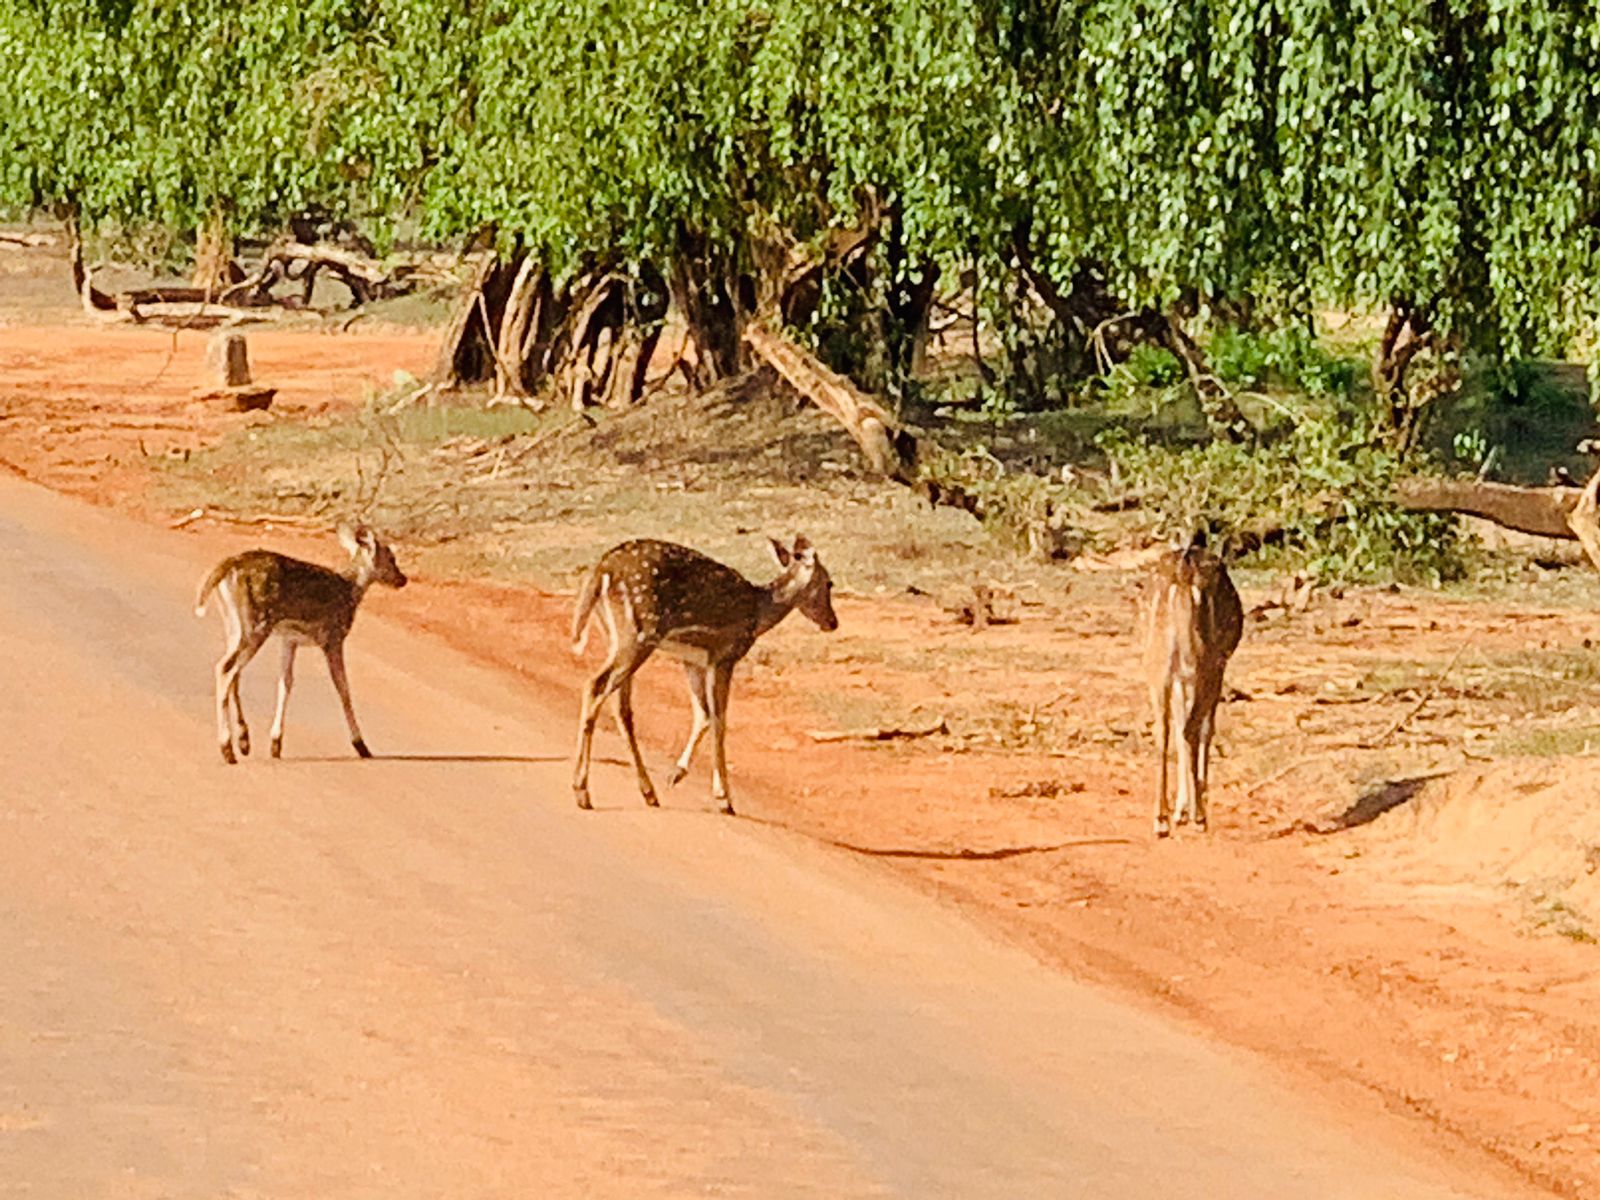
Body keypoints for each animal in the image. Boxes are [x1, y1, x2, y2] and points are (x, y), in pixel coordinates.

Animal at [194, 524, 407, 764]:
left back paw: (243, 741)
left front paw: (276, 744)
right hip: (255, 624)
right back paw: (227, 748)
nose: (402, 579)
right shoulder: (333, 638)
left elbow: (285, 683)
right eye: (391, 558)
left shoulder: (289, 640)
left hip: (234, 623)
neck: (350, 591)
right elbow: (343, 688)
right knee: (225, 668)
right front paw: (361, 746)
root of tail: (228, 566)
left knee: (233, 672)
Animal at [570, 535, 839, 815]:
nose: (832, 622)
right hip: (638, 633)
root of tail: (601, 572)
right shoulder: (724, 656)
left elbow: (703, 715)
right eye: (829, 582)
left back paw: (648, 792)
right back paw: (582, 791)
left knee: (621, 707)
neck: (759, 614)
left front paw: (676, 774)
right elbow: (720, 721)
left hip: (615, 636)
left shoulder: (692, 660)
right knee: (595, 686)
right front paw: (724, 798)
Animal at [1144, 535, 1244, 837]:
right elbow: (1206, 729)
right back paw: (1198, 816)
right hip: (1206, 663)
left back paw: (1161, 820)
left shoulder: (1179, 676)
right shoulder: (1218, 667)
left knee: (1163, 729)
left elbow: (1178, 725)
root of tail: (1183, 574)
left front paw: (1179, 810)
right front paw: (1189, 810)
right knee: (1191, 727)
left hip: (1157, 661)